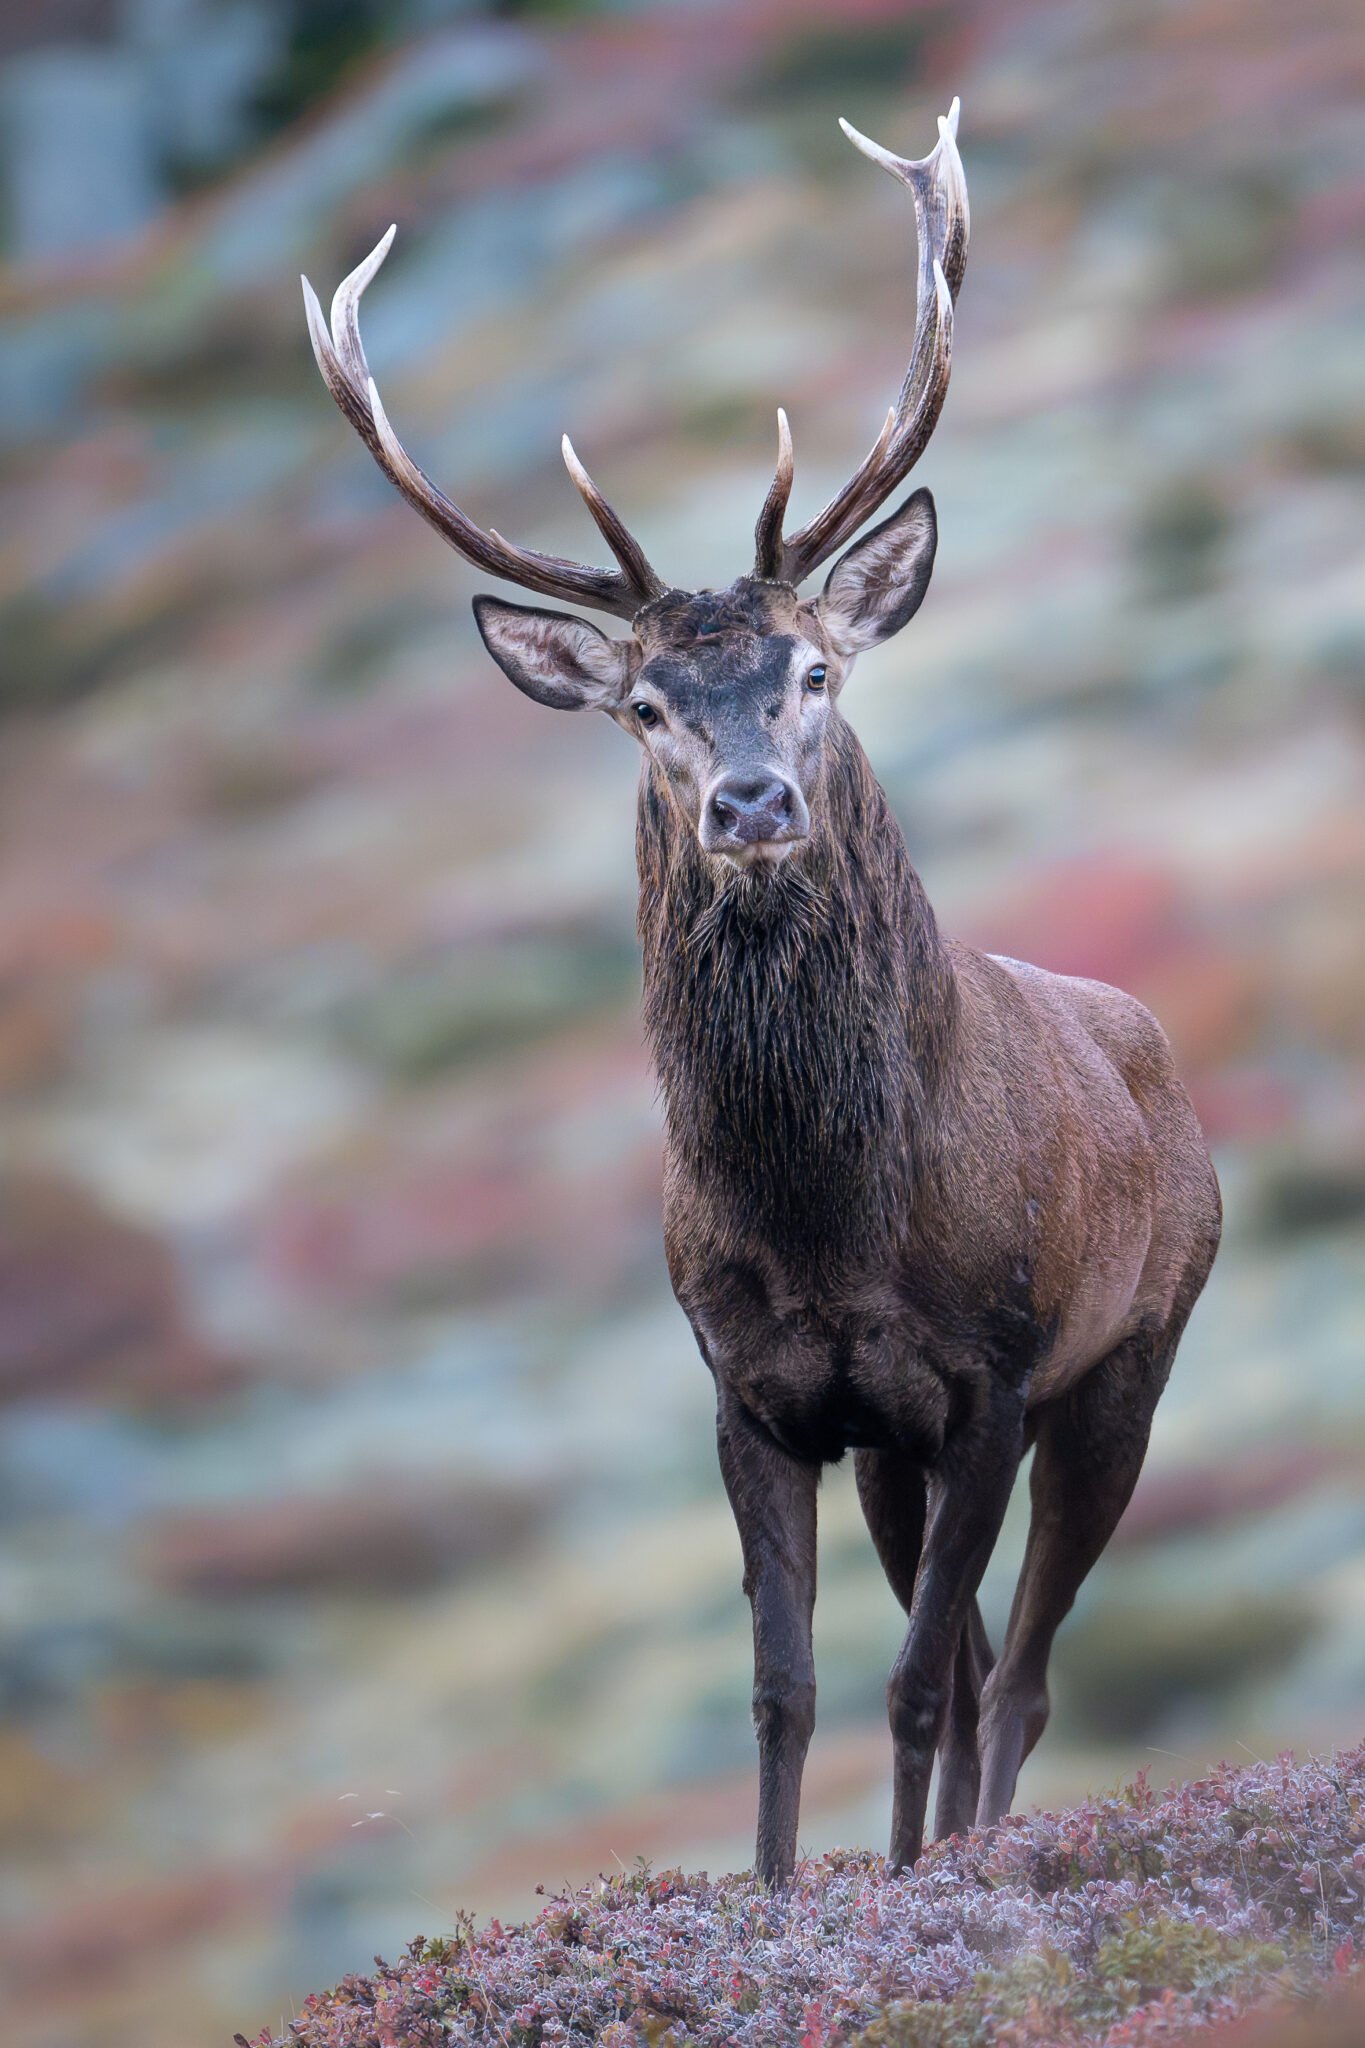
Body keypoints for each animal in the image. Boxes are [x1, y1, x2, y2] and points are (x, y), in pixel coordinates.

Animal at [304, 97, 1221, 1886]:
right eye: (647, 705)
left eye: (813, 670)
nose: (749, 802)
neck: (823, 1216)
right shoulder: (765, 1396)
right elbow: (785, 1690)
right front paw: (789, 1886)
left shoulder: (992, 1377)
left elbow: (921, 1685)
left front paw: (909, 1886)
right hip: (897, 1452)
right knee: (989, 1652)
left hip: (1127, 1362)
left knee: (1021, 1672)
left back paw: (975, 1847)